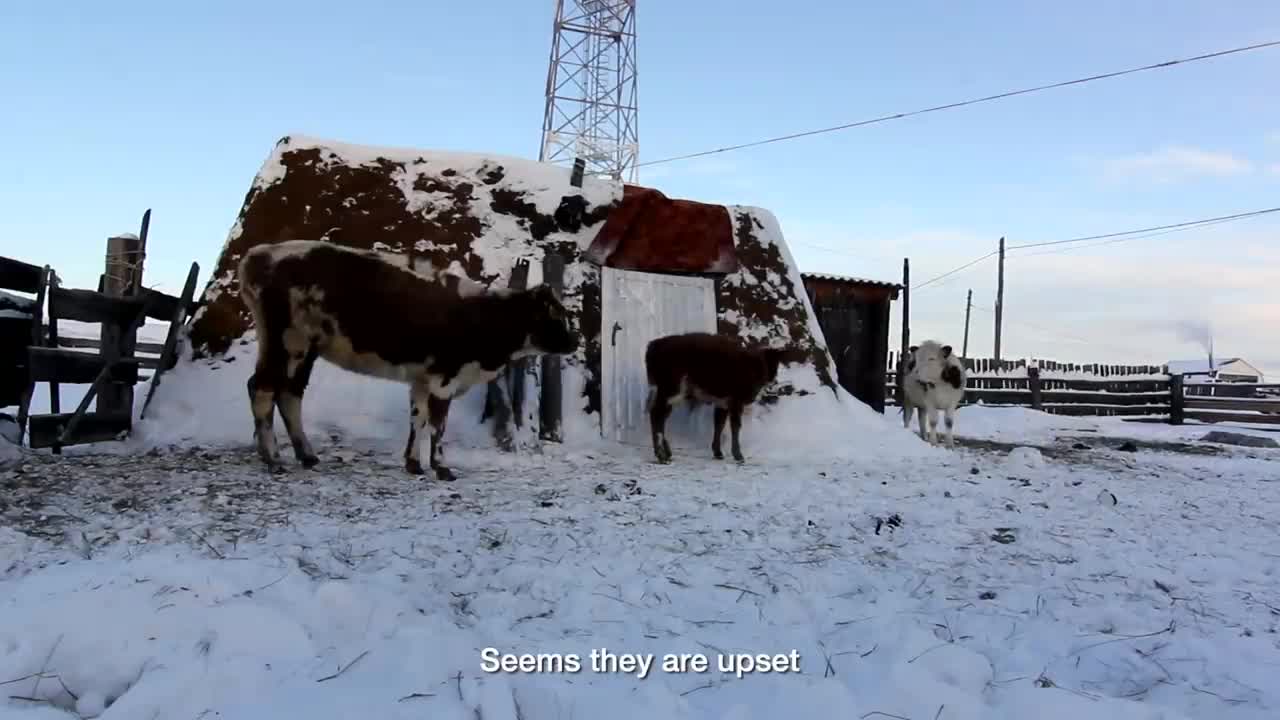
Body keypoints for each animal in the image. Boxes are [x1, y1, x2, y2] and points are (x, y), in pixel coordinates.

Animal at [238, 238, 578, 479]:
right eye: (555, 315)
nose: (574, 341)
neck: (484, 315)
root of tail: (260, 253)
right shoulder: (445, 378)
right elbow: (438, 426)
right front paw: (441, 468)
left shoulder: (422, 380)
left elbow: (419, 418)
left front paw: (414, 464)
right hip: (287, 342)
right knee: (263, 389)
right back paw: (273, 459)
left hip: (304, 350)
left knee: (289, 394)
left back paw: (306, 455)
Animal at [645, 333, 783, 466]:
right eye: (771, 364)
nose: (774, 381)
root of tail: (653, 346)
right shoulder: (736, 402)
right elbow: (735, 427)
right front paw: (739, 457)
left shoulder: (722, 403)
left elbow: (719, 424)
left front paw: (718, 453)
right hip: (672, 391)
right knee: (657, 414)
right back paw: (662, 457)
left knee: (659, 416)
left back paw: (667, 453)